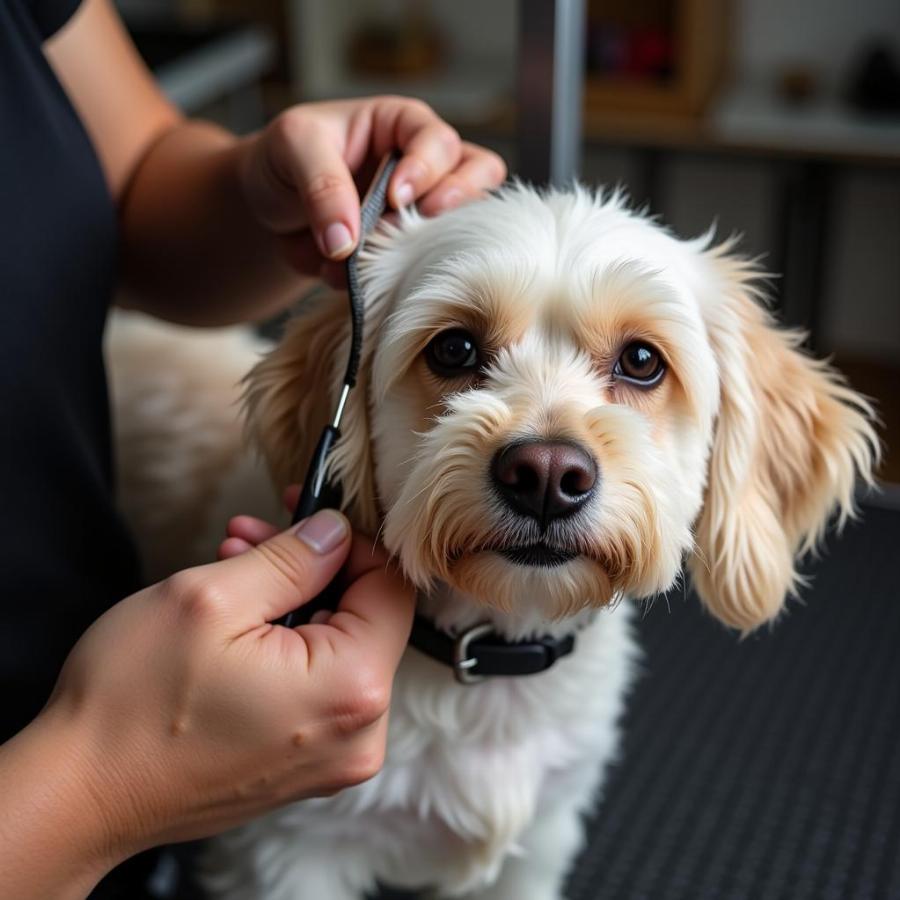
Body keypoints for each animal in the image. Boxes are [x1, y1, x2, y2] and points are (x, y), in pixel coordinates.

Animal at [112, 183, 880, 900]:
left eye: (641, 360)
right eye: (454, 348)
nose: (546, 475)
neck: (488, 667)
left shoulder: (539, 844)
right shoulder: (287, 850)